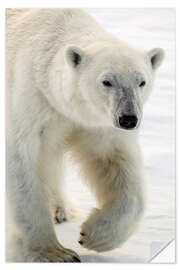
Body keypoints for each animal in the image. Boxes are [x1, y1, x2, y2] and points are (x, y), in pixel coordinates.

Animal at [5, 7, 165, 262]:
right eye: (106, 81)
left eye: (142, 81)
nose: (129, 119)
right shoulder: (30, 101)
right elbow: (21, 163)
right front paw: (55, 253)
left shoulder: (96, 123)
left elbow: (113, 163)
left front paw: (94, 235)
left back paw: (61, 209)